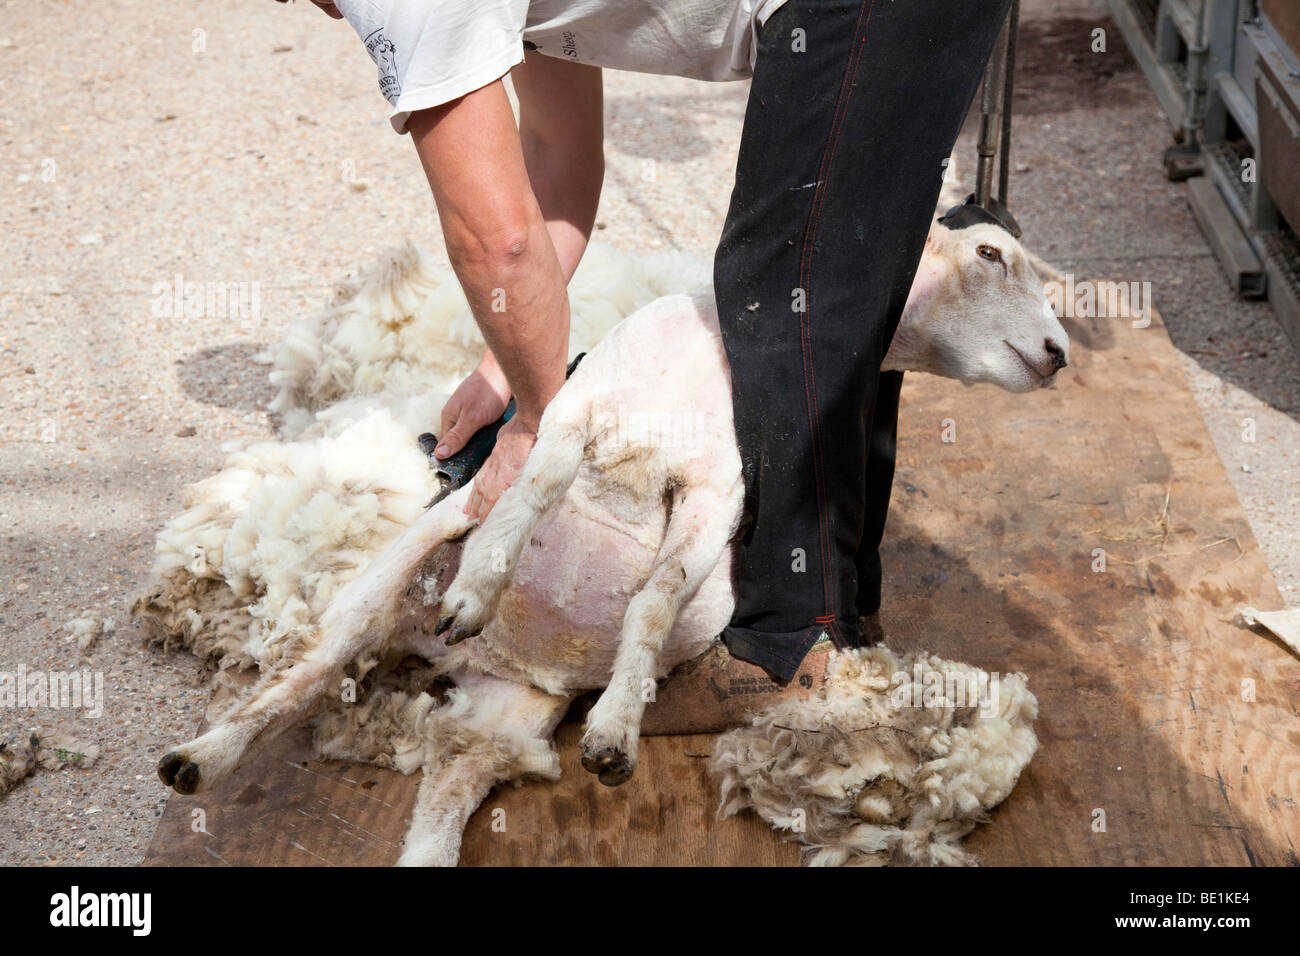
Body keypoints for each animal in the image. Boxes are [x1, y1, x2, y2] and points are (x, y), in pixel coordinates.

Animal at [144, 213, 1065, 866]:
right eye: (990, 254)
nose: (1059, 352)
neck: (708, 359)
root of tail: (466, 665)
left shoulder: (714, 496)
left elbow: (655, 601)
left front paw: (616, 732)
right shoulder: (570, 420)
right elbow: (526, 501)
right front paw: (477, 588)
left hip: (505, 715)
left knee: (450, 772)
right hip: (378, 592)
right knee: (300, 679)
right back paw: (203, 757)